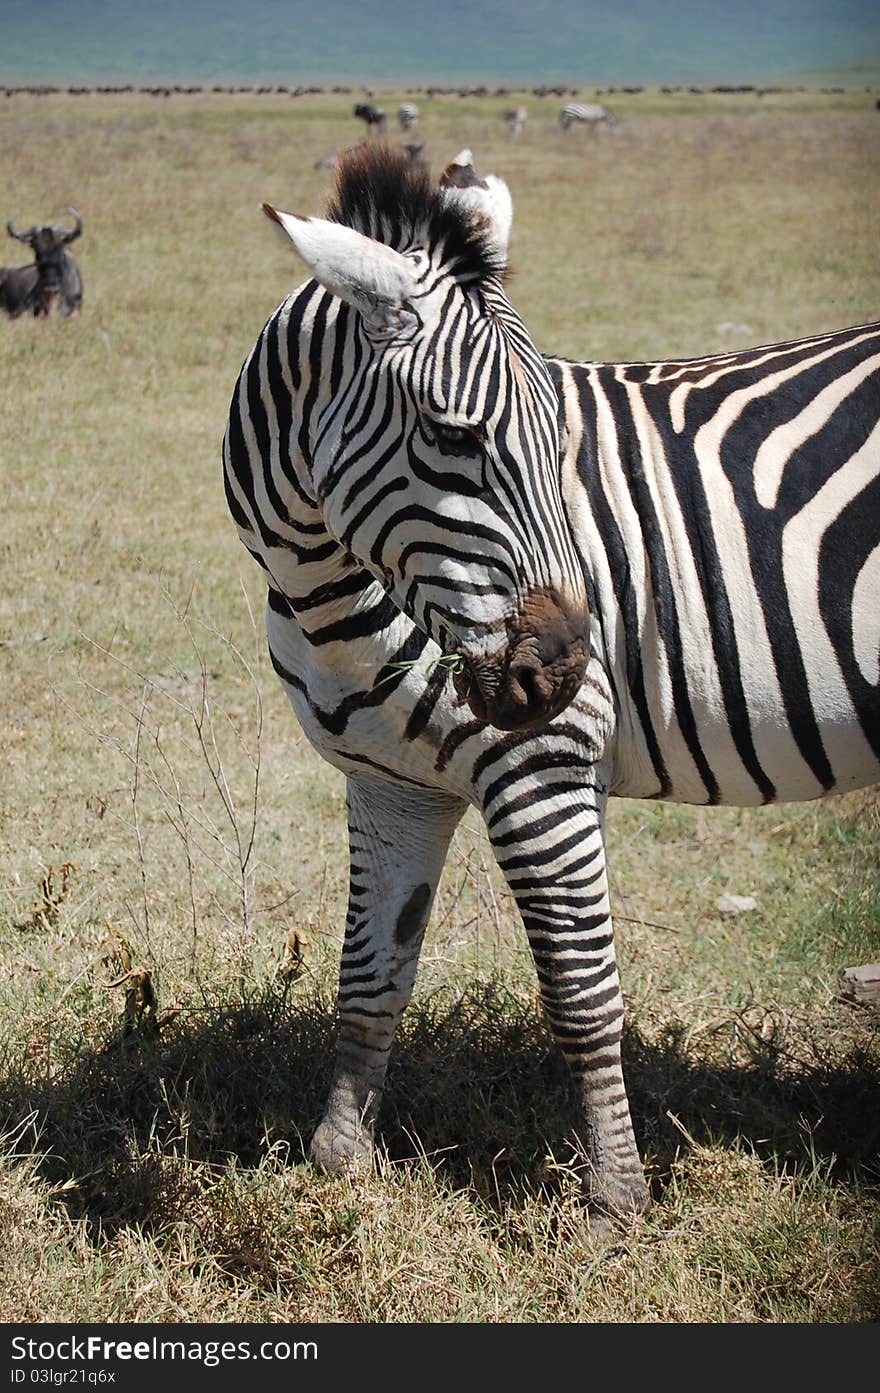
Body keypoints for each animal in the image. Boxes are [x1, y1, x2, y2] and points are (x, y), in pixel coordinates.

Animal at [225, 144, 880, 1231]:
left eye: (561, 437)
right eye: (452, 436)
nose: (572, 670)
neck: (329, 587)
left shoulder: (544, 764)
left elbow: (581, 993)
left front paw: (614, 1202)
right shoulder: (391, 784)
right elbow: (371, 976)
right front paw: (339, 1168)